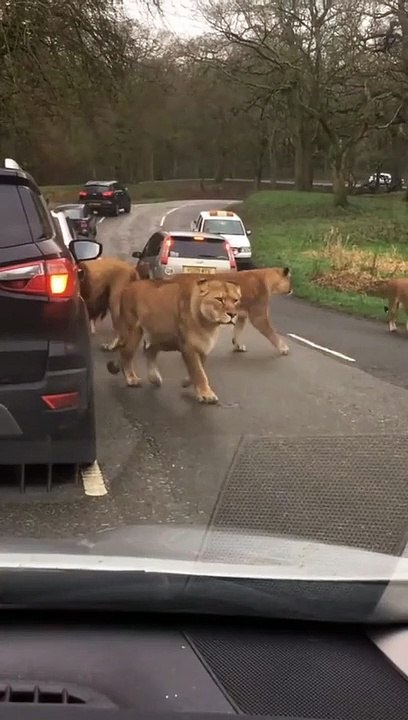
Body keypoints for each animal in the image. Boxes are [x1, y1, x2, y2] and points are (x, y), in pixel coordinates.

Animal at [106, 276, 241, 404]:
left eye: (235, 300)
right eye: (219, 299)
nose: (233, 314)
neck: (209, 324)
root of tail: (127, 286)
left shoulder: (203, 347)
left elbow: (199, 369)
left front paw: (186, 382)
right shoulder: (188, 347)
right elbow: (199, 372)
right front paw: (206, 394)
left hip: (156, 335)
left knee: (148, 351)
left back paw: (154, 378)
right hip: (133, 332)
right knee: (125, 356)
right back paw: (131, 379)